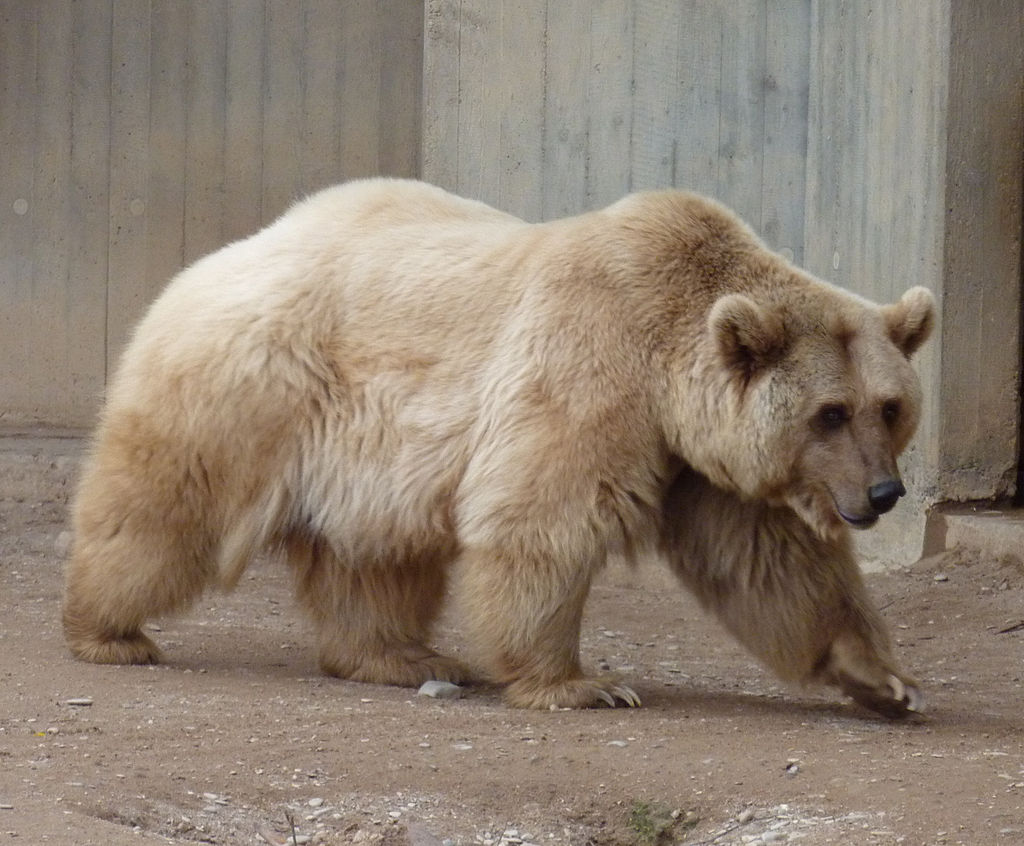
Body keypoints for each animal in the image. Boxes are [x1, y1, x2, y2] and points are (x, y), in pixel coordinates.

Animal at [59, 178, 933, 712]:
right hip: (252, 387)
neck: (669, 364)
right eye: (830, 412)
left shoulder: (699, 460)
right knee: (164, 509)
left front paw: (884, 679)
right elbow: (544, 518)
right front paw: (584, 683)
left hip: (369, 454)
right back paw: (107, 630)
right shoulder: (592, 367)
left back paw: (403, 655)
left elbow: (770, 562)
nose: (883, 493)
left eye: (889, 407)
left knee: (375, 558)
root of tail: (214, 257)